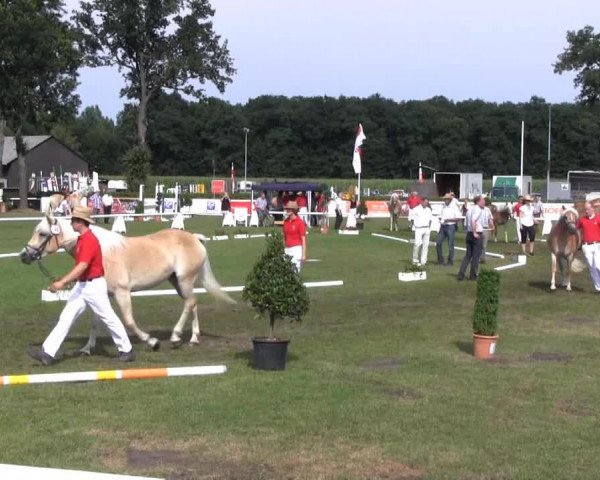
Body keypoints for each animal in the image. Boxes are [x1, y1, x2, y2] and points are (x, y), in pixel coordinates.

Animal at [20, 214, 234, 352]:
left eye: (42, 233)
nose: (24, 256)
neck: (103, 253)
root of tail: (194, 238)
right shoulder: (102, 294)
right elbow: (95, 321)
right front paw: (88, 347)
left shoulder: (122, 293)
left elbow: (128, 321)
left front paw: (151, 341)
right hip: (178, 282)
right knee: (193, 304)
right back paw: (193, 338)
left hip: (184, 281)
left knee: (189, 304)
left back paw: (175, 337)